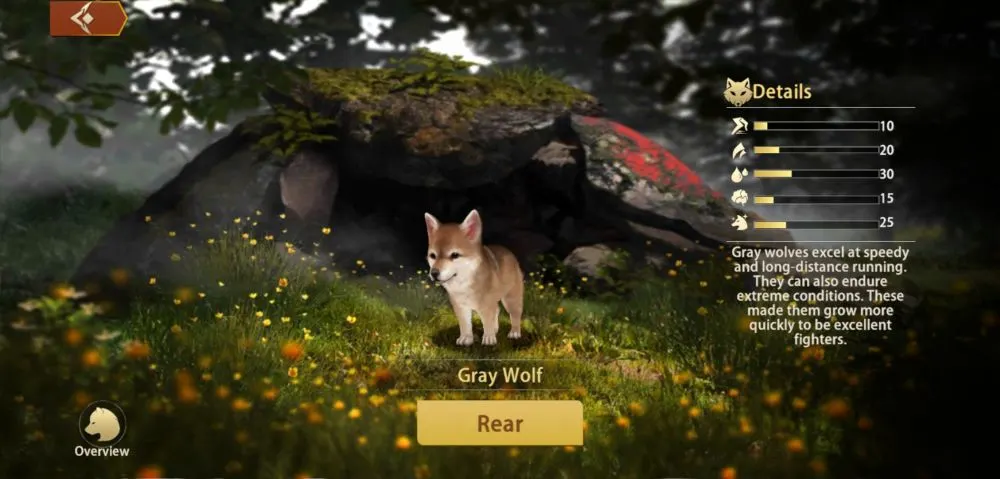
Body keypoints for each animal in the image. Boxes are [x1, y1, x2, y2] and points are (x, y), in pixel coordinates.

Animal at [424, 210, 524, 346]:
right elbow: (465, 325)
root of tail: (508, 252)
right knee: (497, 310)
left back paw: (514, 332)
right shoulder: (461, 306)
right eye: (433, 256)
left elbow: (487, 322)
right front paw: (466, 338)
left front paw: (488, 338)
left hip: (511, 299)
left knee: (515, 314)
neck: (464, 283)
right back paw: (496, 329)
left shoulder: (486, 305)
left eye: (455, 255)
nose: (434, 273)